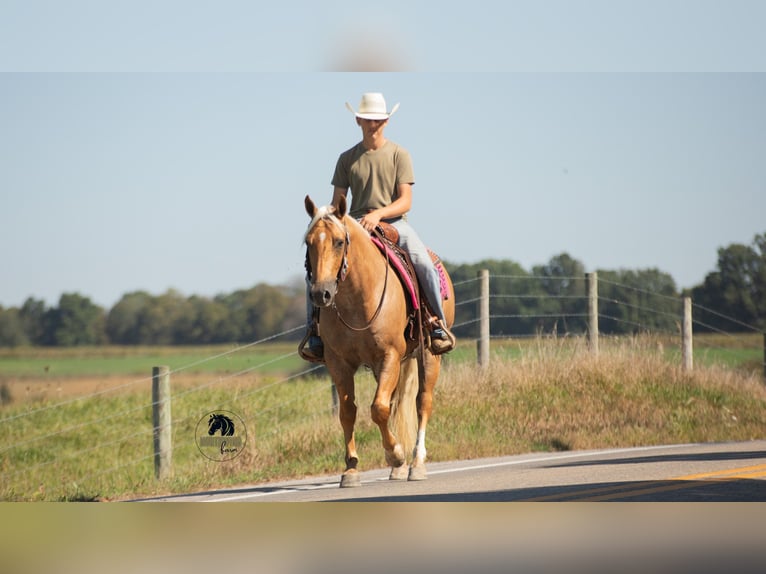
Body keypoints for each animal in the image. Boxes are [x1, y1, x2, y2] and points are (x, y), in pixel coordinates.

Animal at [302, 194, 455, 487]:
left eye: (339, 241)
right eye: (308, 242)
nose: (320, 293)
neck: (357, 298)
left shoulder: (389, 356)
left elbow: (378, 408)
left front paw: (395, 454)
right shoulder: (338, 363)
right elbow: (348, 411)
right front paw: (351, 468)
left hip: (429, 357)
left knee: (422, 402)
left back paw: (416, 463)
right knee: (397, 403)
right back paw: (400, 469)